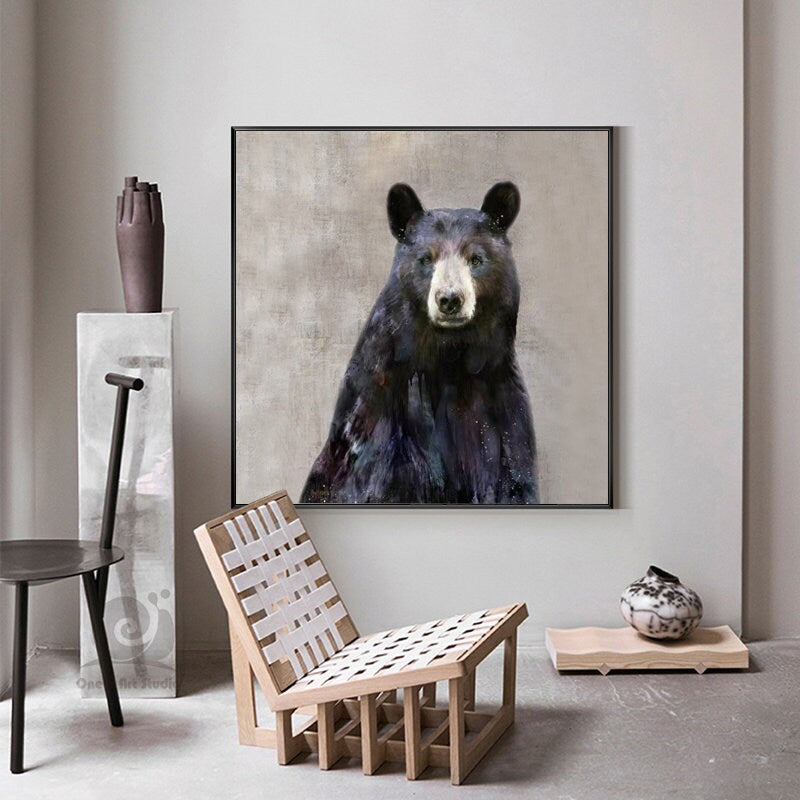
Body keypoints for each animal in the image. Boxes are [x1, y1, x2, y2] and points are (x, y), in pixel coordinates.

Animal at [300, 182, 539, 504]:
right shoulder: (378, 410)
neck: (448, 357)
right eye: (426, 258)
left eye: (476, 259)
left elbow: (513, 479)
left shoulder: (502, 407)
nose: (449, 299)